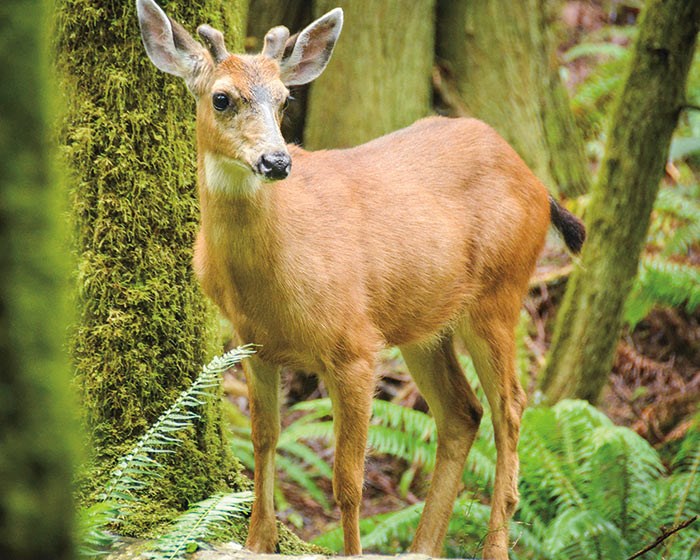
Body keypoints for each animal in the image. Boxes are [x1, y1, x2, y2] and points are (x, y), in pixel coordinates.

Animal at [137, 2, 584, 556]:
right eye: (221, 98)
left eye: (285, 99)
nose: (277, 161)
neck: (272, 276)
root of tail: (538, 184)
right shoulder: (253, 344)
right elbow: (265, 442)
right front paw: (257, 541)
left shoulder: (355, 346)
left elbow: (348, 481)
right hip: (424, 322)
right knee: (463, 412)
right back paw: (423, 546)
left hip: (500, 292)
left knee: (512, 407)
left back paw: (493, 545)